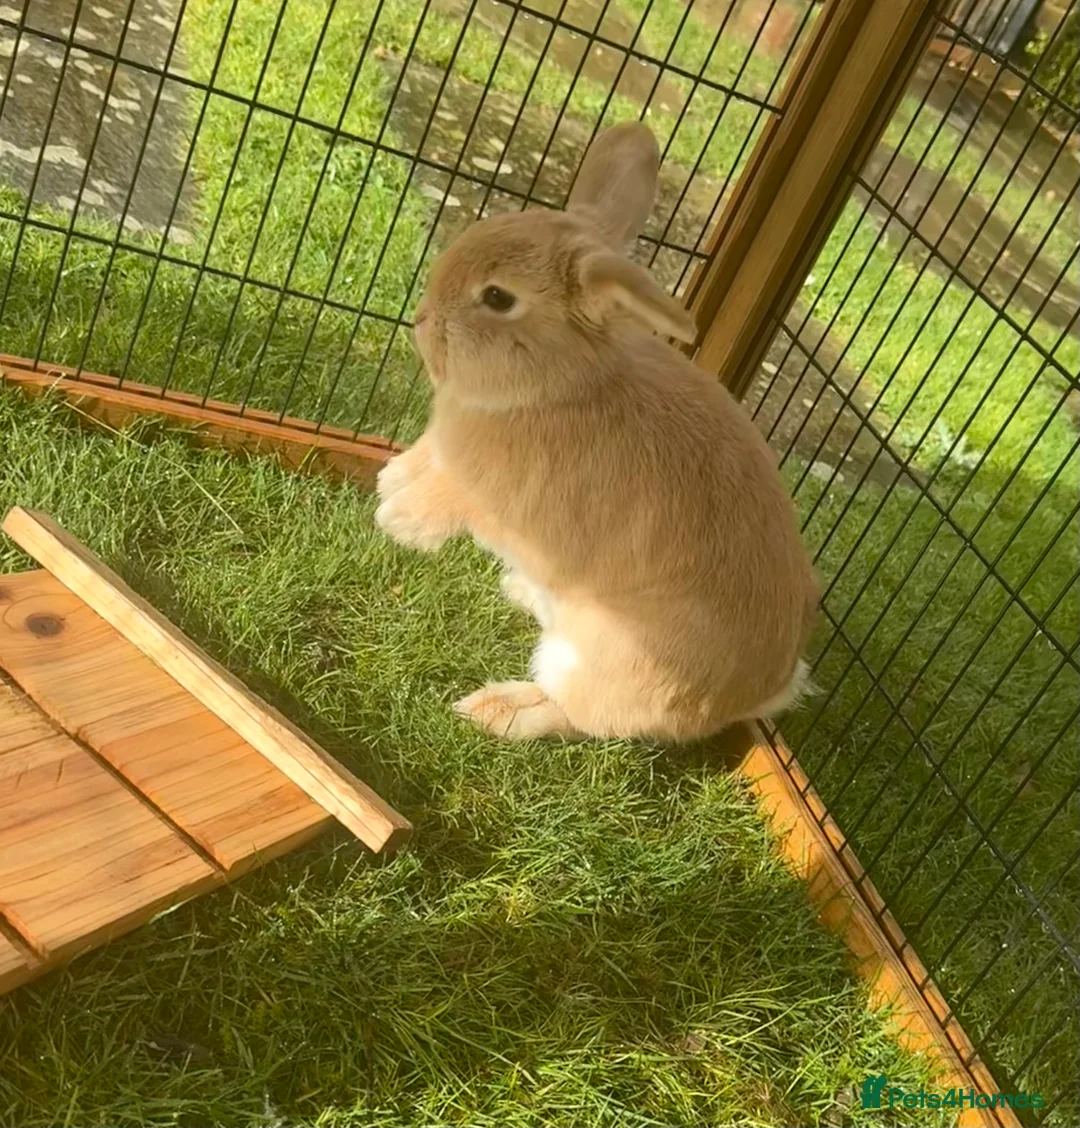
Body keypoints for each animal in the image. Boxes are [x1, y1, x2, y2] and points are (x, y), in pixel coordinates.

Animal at [374, 121, 818, 742]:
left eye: (497, 297)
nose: (421, 321)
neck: (558, 389)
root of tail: (757, 696)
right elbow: (423, 461)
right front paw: (389, 481)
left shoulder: (498, 497)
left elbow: (451, 503)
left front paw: (395, 521)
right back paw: (518, 592)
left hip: (600, 659)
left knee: (573, 714)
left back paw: (496, 709)